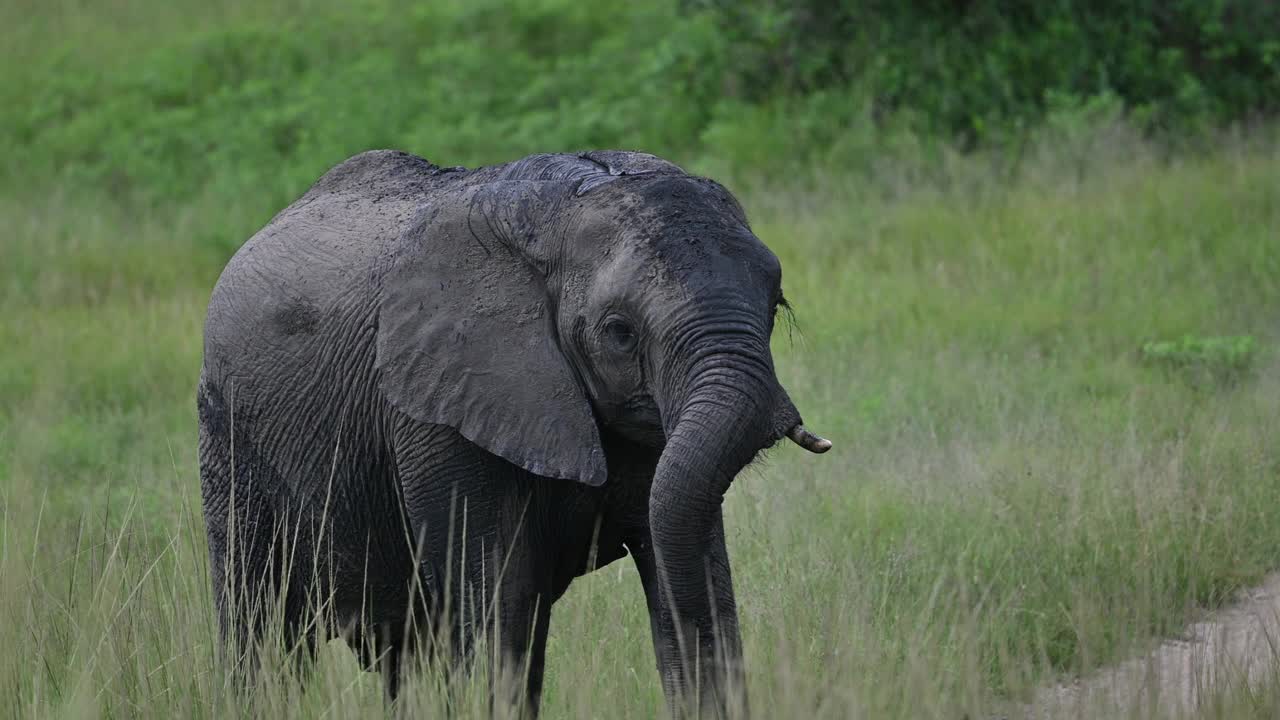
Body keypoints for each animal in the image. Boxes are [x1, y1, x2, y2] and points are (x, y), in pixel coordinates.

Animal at [194, 148, 824, 712]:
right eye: (619, 332)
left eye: (775, 306)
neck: (559, 210)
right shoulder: (439, 408)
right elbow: (501, 602)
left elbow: (683, 551)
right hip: (226, 431)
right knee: (261, 626)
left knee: (405, 652)